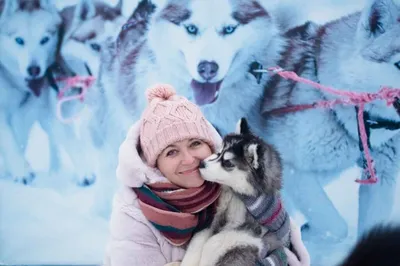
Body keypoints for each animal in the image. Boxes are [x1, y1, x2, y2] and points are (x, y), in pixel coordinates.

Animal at [0, 0, 62, 184]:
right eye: (19, 40)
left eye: (44, 40)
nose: (34, 69)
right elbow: (8, 139)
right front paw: (21, 171)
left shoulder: (32, 105)